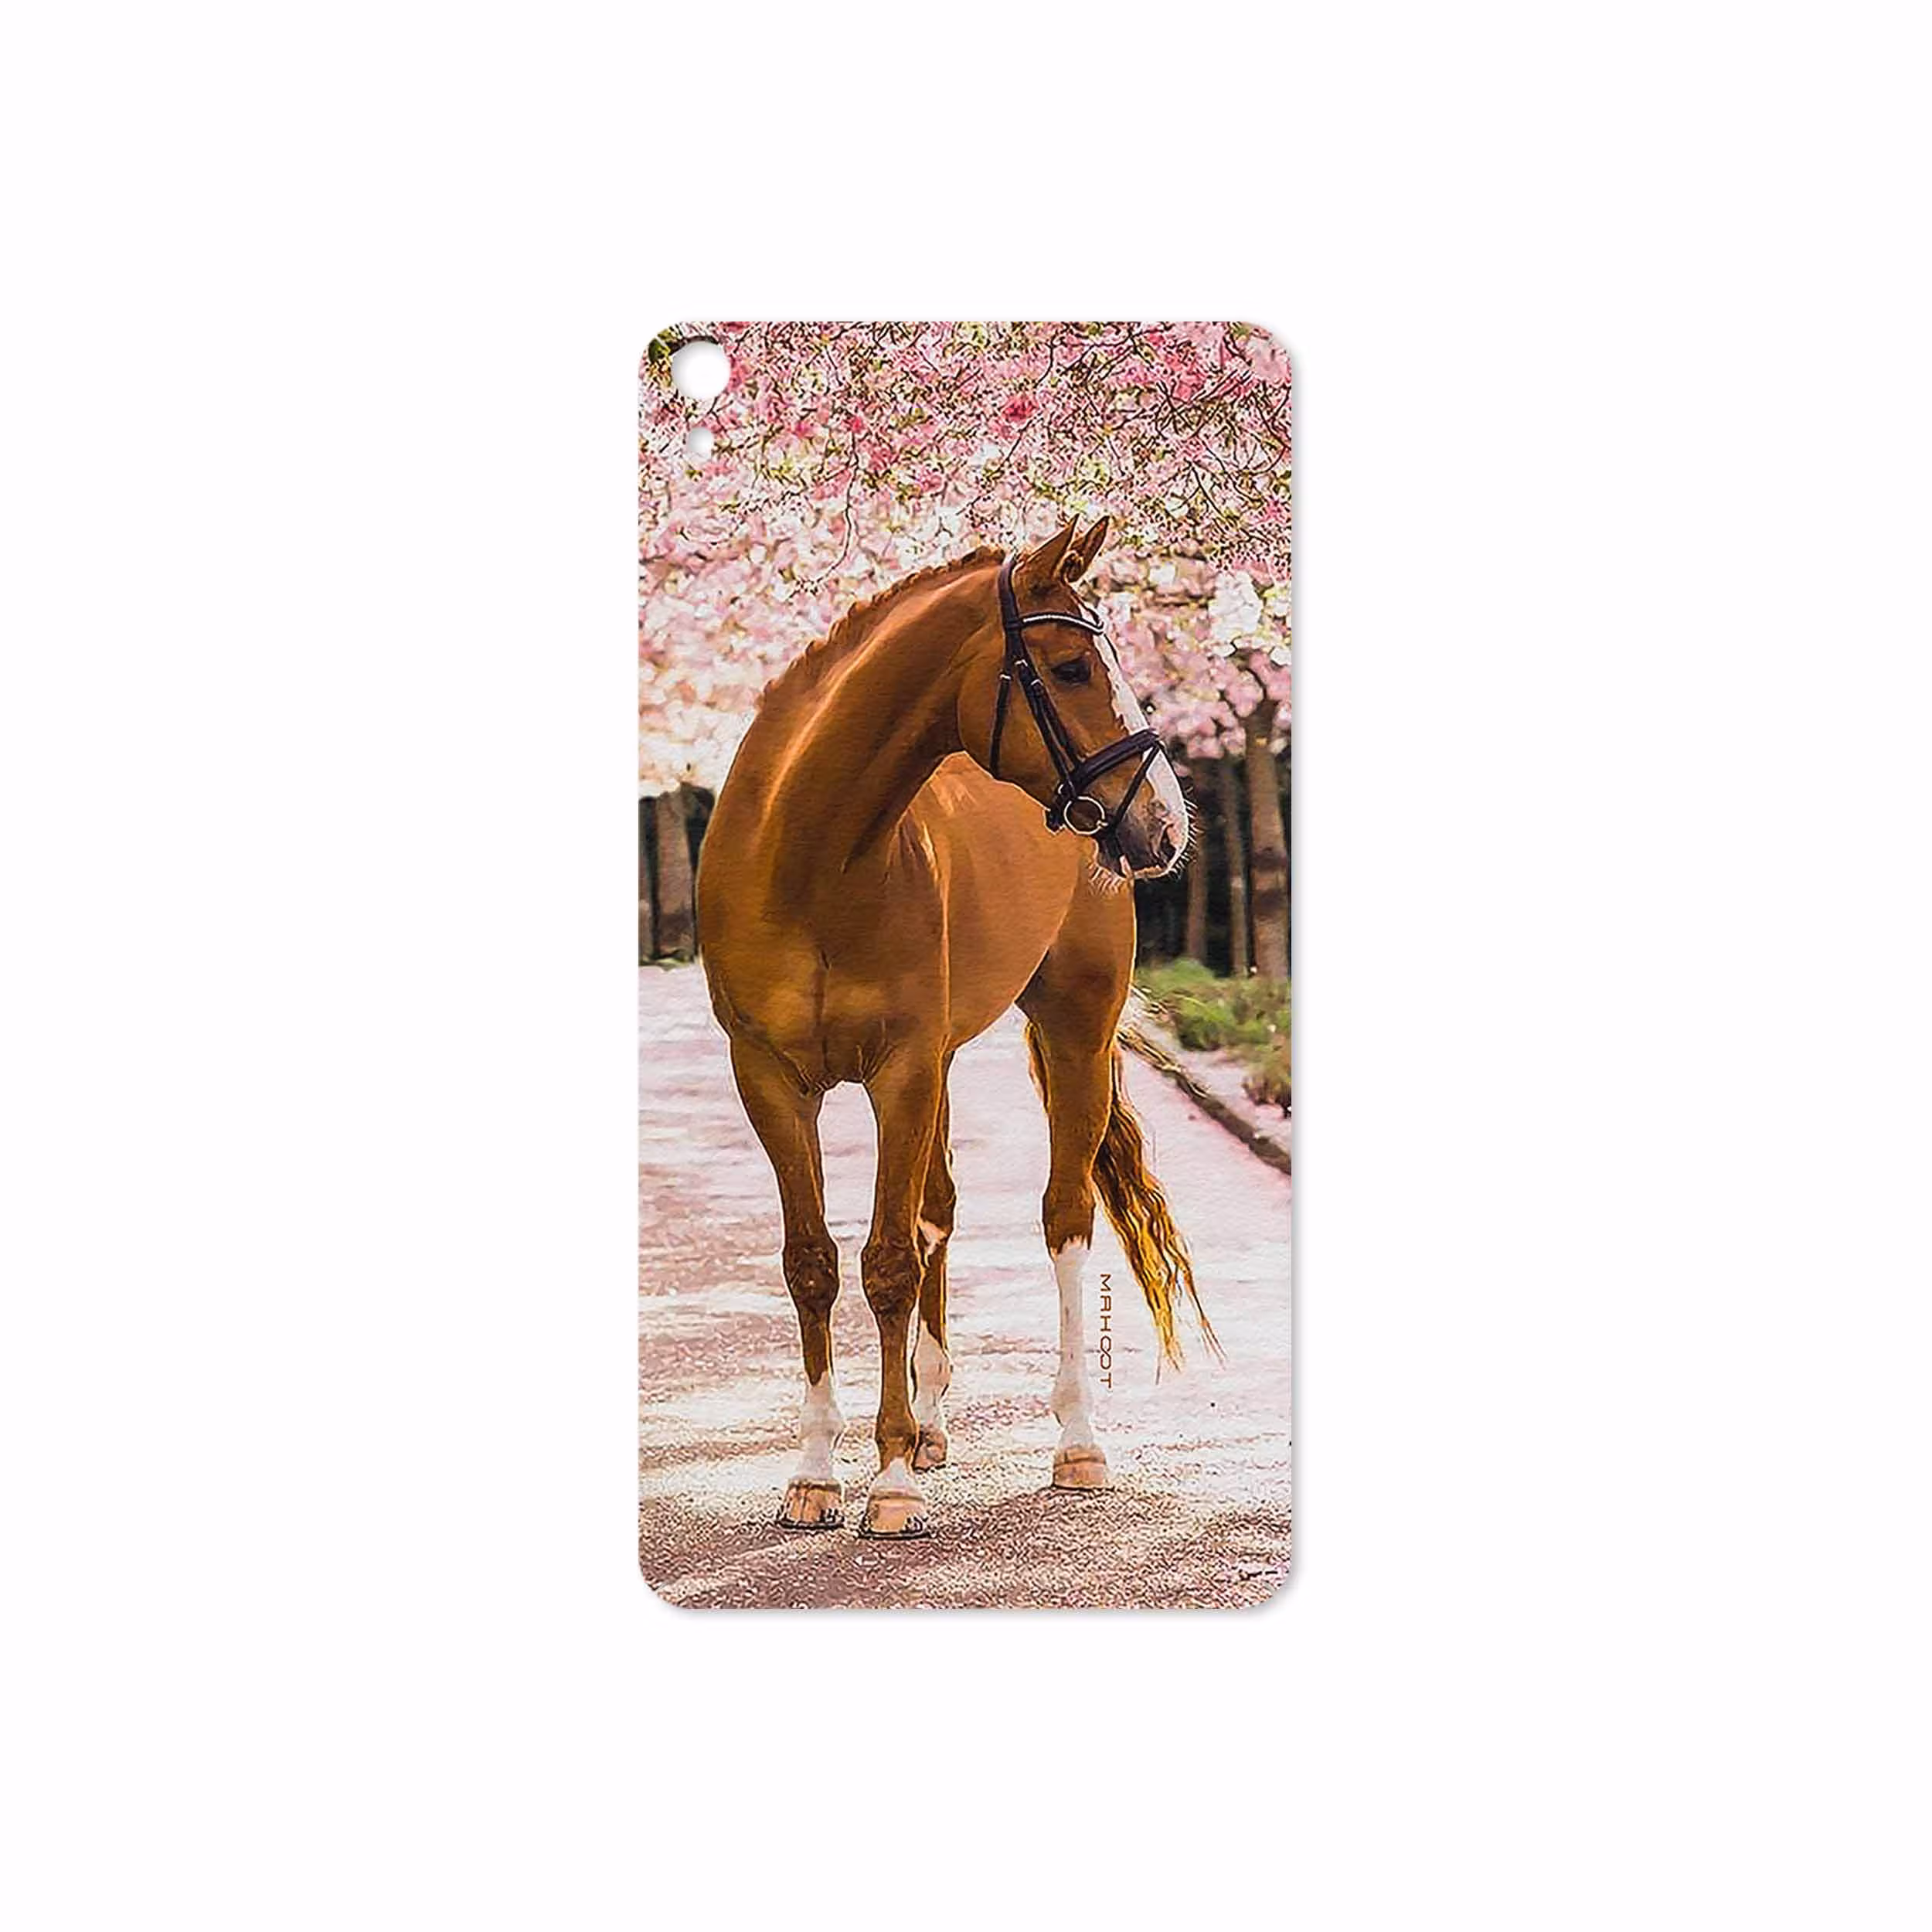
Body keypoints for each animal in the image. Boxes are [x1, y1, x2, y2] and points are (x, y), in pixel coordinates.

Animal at [695, 517, 1215, 1537]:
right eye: (1069, 667)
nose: (1166, 826)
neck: (809, 857)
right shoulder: (769, 1078)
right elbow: (813, 1262)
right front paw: (817, 1473)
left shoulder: (899, 1070)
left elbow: (889, 1261)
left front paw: (889, 1481)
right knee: (937, 1210)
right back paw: (932, 1425)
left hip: (1072, 1031)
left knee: (1062, 1218)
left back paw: (1074, 1442)